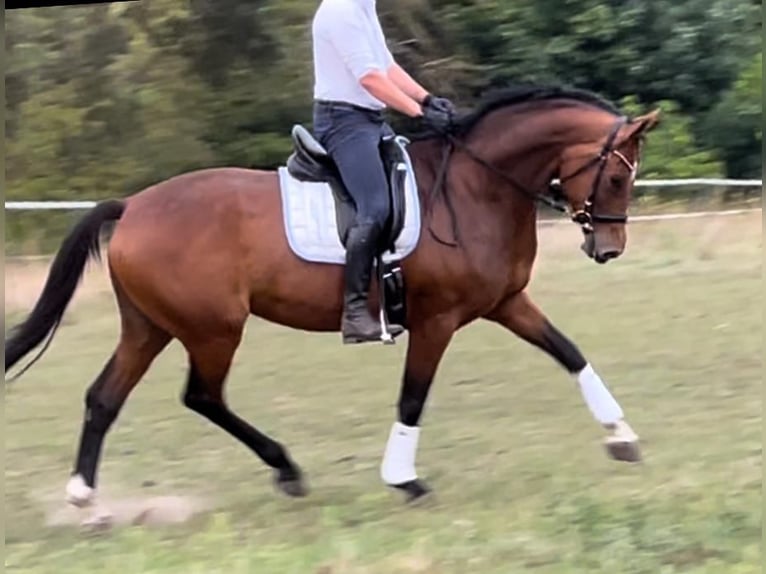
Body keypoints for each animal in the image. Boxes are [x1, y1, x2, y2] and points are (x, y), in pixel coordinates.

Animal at [4, 83, 660, 528]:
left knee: (104, 398)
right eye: (617, 179)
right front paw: (405, 480)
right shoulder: (438, 320)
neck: (477, 187)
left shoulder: (507, 302)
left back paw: (88, 502)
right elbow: (413, 397)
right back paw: (286, 470)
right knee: (202, 396)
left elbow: (569, 352)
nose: (608, 248)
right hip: (214, 329)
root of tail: (134, 206)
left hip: (150, 327)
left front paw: (622, 436)